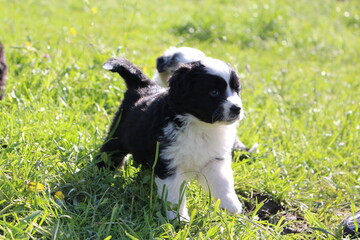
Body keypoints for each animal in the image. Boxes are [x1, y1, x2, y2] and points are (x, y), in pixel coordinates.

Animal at [98, 56, 243, 221]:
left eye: (236, 90)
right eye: (214, 92)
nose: (237, 109)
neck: (200, 126)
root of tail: (143, 85)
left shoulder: (213, 158)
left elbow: (223, 180)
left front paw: (231, 205)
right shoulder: (168, 162)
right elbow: (174, 194)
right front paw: (178, 218)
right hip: (118, 134)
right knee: (110, 152)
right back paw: (102, 171)